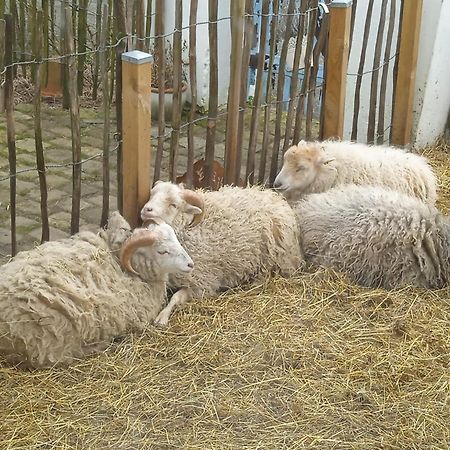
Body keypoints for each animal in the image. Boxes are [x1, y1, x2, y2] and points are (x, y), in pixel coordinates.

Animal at [125, 181, 304, 326]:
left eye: (173, 204)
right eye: (152, 194)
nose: (147, 209)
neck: (189, 226)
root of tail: (274, 197)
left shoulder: (203, 283)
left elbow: (175, 298)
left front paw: (162, 317)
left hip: (275, 257)